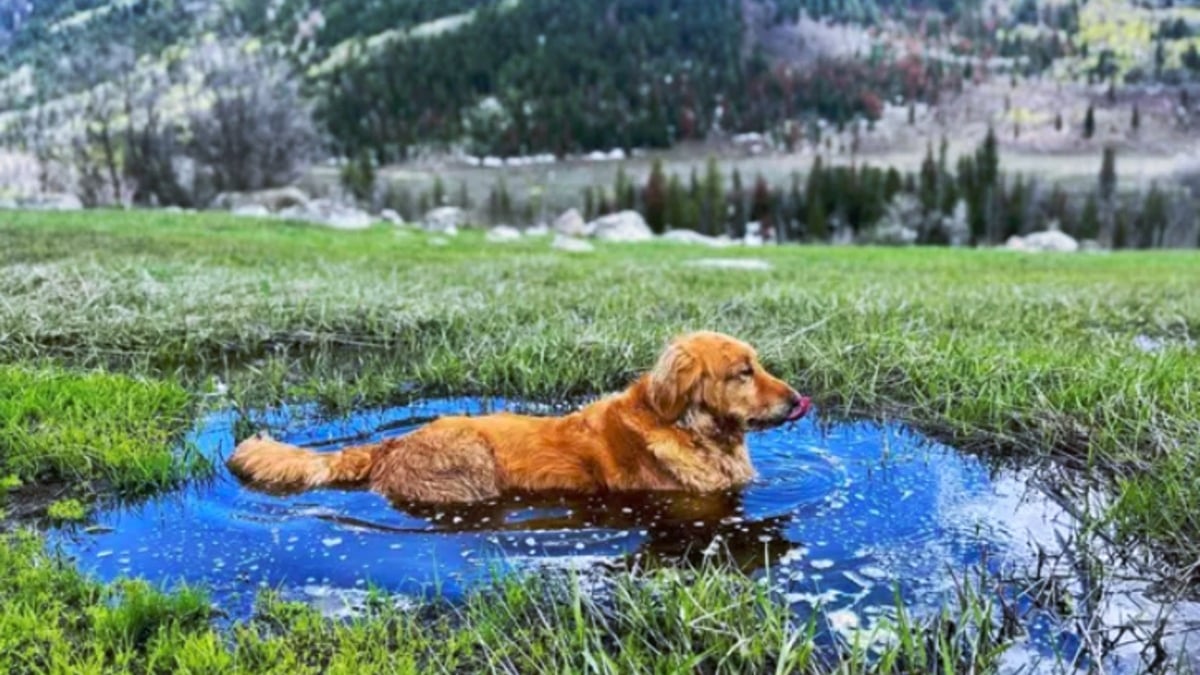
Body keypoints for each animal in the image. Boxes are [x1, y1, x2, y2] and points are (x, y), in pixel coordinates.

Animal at [229, 329, 811, 502]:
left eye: (758, 364)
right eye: (743, 372)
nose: (797, 399)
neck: (688, 428)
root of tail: (397, 443)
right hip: (472, 465)